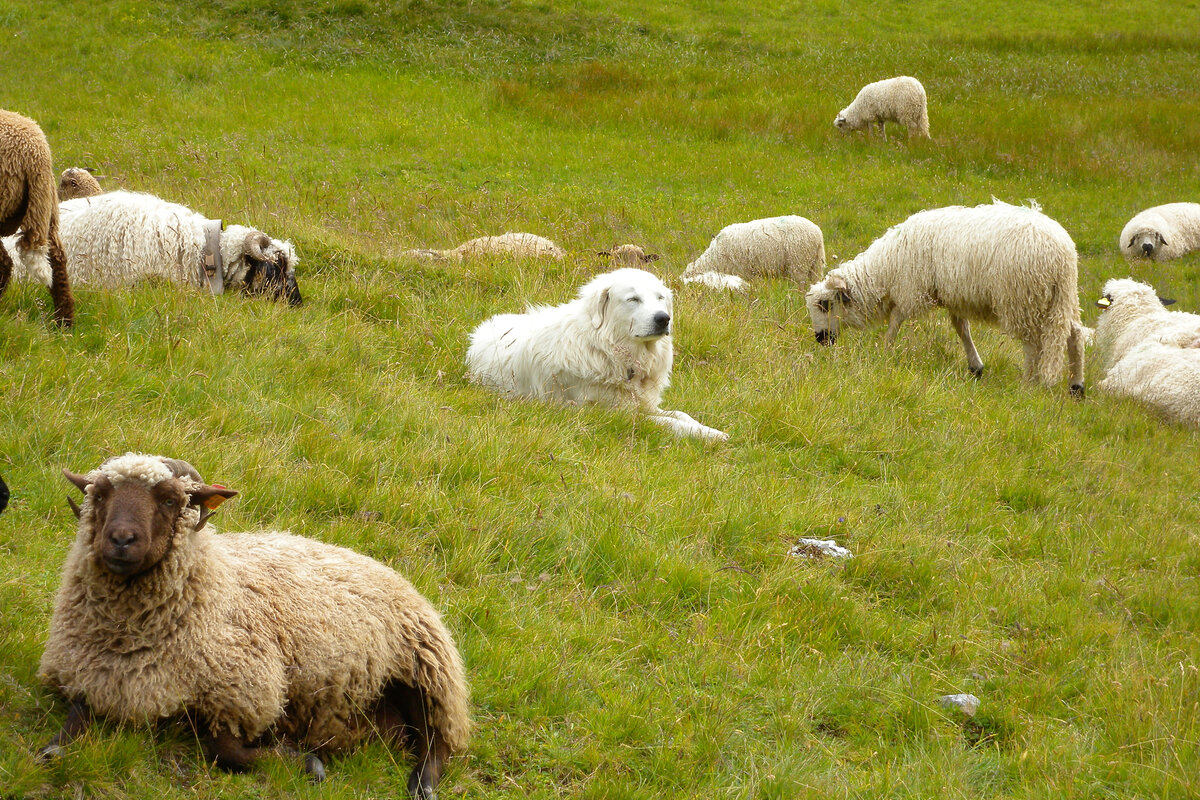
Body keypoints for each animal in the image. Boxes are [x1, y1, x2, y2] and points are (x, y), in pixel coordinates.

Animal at [465, 268, 729, 443]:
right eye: (633, 299)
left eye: (660, 298)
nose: (664, 318)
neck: (605, 347)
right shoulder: (615, 413)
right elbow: (669, 422)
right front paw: (707, 435)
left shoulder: (643, 403)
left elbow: (681, 414)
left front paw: (712, 430)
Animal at [686, 215, 825, 293]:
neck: (712, 259)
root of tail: (817, 233)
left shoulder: (740, 271)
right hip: (815, 264)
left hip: (799, 262)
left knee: (800, 283)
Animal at [806, 200, 1089, 398]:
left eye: (825, 305)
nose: (820, 339)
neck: (888, 267)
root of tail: (1063, 253)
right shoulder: (954, 296)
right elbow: (961, 329)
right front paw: (975, 367)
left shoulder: (912, 288)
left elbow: (896, 320)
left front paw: (884, 351)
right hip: (1062, 297)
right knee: (1074, 335)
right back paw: (1076, 386)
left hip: (1022, 297)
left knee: (1031, 343)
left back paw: (1028, 383)